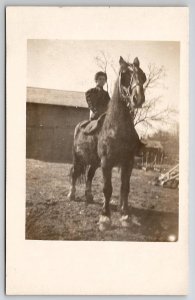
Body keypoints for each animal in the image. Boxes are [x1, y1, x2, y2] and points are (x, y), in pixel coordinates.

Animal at [68, 57, 145, 229]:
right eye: (124, 74)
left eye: (143, 76)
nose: (138, 98)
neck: (116, 128)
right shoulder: (106, 163)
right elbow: (107, 189)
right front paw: (105, 217)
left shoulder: (128, 163)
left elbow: (125, 188)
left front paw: (125, 216)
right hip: (78, 158)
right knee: (75, 173)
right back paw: (71, 194)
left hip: (95, 162)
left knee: (89, 176)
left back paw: (89, 196)